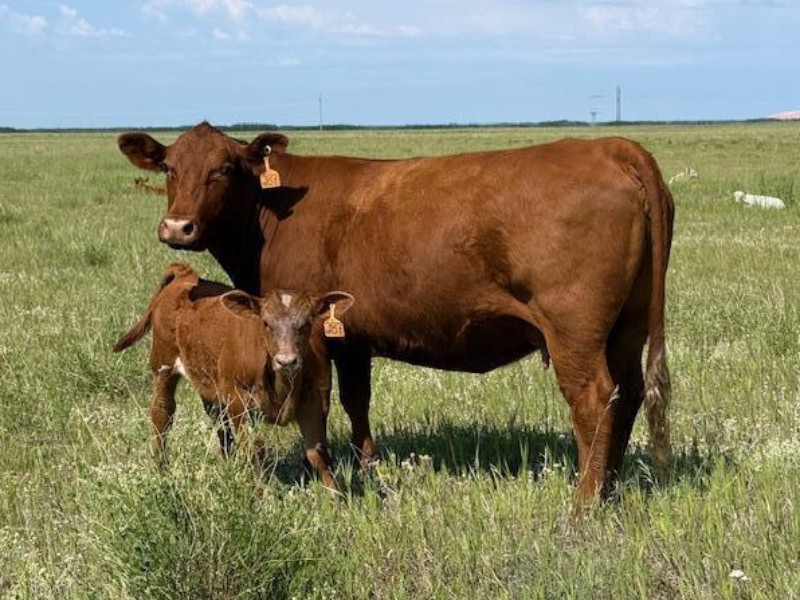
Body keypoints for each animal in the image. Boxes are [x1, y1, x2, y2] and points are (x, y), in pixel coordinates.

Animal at [113, 261, 355, 489]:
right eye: (266, 323)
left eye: (307, 323)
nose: (286, 360)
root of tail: (186, 276)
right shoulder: (239, 400)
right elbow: (253, 450)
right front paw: (260, 494)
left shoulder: (315, 400)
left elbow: (318, 454)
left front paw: (336, 498)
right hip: (162, 364)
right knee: (162, 414)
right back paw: (163, 472)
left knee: (219, 422)